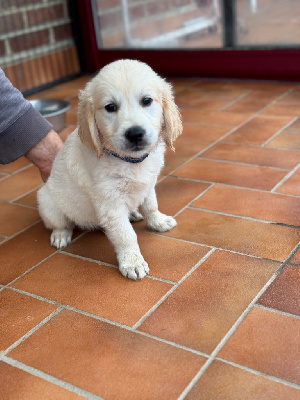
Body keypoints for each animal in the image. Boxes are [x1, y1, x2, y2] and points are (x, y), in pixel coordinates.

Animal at [37, 59, 183, 280]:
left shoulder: (147, 184)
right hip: (47, 202)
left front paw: (158, 221)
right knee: (61, 222)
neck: (130, 162)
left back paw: (133, 213)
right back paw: (61, 234)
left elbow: (151, 205)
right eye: (110, 107)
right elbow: (125, 235)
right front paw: (133, 262)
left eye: (147, 101)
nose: (135, 134)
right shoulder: (110, 203)